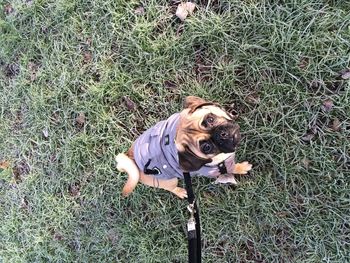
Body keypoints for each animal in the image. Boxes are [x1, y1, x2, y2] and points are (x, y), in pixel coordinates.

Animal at [117, 96, 252, 199]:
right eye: (206, 147)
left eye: (210, 119)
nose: (222, 135)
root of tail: (131, 158)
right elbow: (232, 168)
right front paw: (242, 168)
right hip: (169, 181)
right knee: (171, 188)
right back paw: (181, 192)